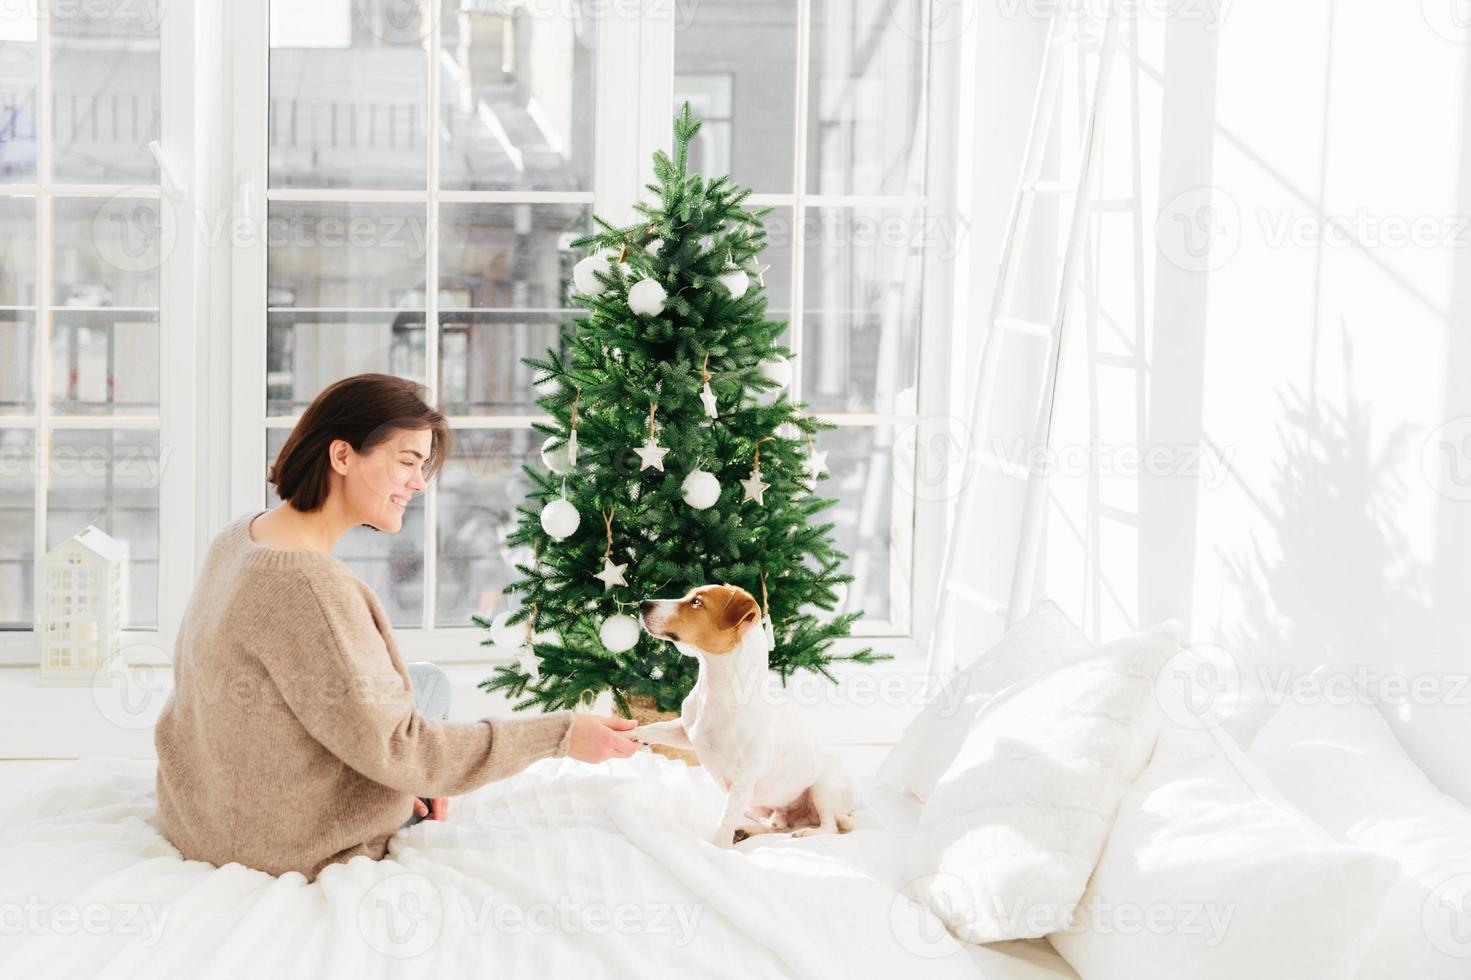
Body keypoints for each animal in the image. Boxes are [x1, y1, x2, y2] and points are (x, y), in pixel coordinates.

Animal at [632, 579, 859, 847]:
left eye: (697, 602)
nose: (643, 603)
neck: (716, 687)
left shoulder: (742, 783)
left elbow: (724, 823)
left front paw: (717, 849)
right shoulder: (687, 732)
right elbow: (653, 728)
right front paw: (630, 735)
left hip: (822, 788)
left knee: (829, 826)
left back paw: (805, 832)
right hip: (757, 806)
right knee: (776, 825)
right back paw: (749, 831)